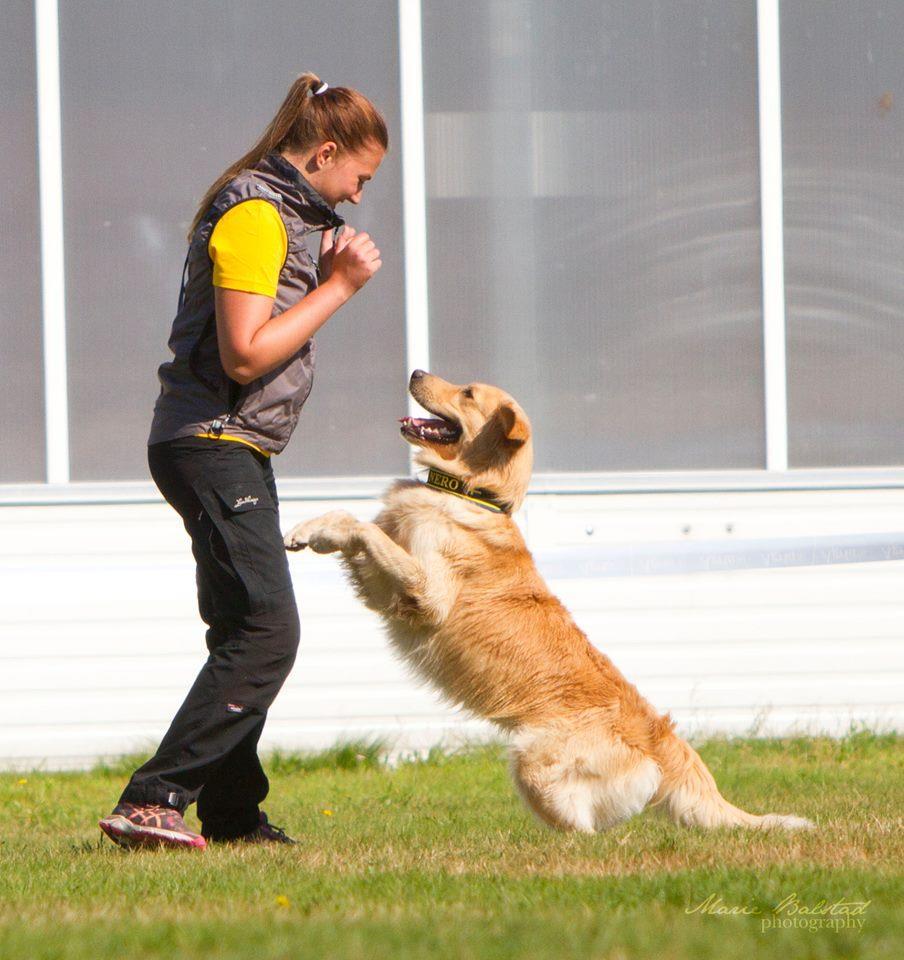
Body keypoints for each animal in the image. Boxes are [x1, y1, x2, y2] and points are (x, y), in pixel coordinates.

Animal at [286, 374, 816, 832]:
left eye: (467, 392)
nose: (415, 371)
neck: (471, 493)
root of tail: (660, 737)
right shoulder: (390, 595)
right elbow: (355, 524)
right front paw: (311, 531)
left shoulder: (429, 594)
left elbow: (366, 528)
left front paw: (320, 530)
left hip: (533, 762)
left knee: (587, 831)